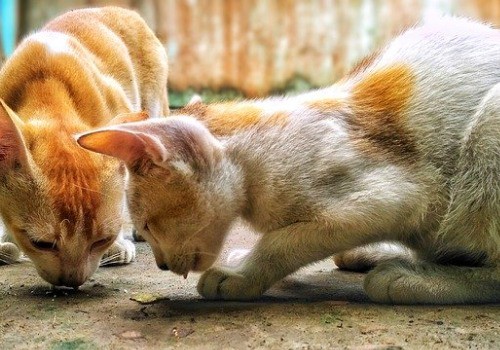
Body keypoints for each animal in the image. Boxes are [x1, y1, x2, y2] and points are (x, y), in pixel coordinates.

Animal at [78, 17, 500, 304]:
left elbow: (284, 240)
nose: (162, 265)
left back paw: (415, 277)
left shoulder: (397, 197)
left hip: (489, 133)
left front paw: (242, 274)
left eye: (148, 225)